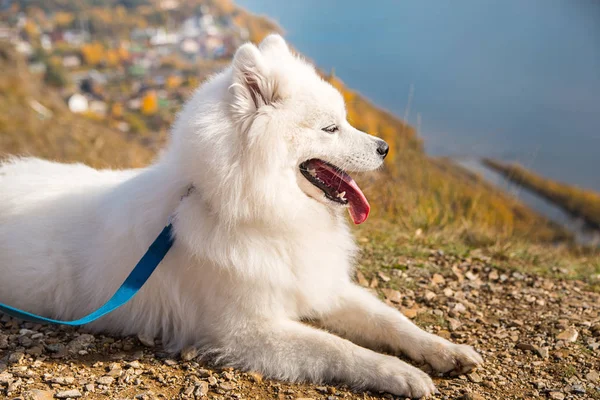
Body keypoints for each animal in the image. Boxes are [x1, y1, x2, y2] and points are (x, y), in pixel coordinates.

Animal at [0, 36, 482, 398]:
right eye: (331, 128)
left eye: (345, 121)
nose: (385, 147)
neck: (260, 211)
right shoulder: (246, 331)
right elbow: (338, 347)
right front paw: (400, 373)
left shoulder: (317, 284)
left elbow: (391, 320)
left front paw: (445, 350)